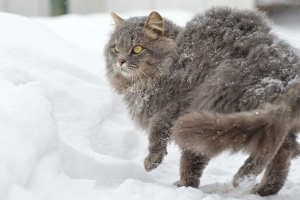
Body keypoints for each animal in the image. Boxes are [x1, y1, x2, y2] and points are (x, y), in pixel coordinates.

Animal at [103, 7, 300, 196]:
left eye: (137, 49)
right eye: (116, 49)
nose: (120, 61)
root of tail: (289, 69)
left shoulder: (177, 107)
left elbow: (161, 134)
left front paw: (167, 172)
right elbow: (193, 158)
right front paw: (187, 184)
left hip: (221, 101)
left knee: (271, 143)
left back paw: (244, 178)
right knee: (285, 149)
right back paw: (265, 188)